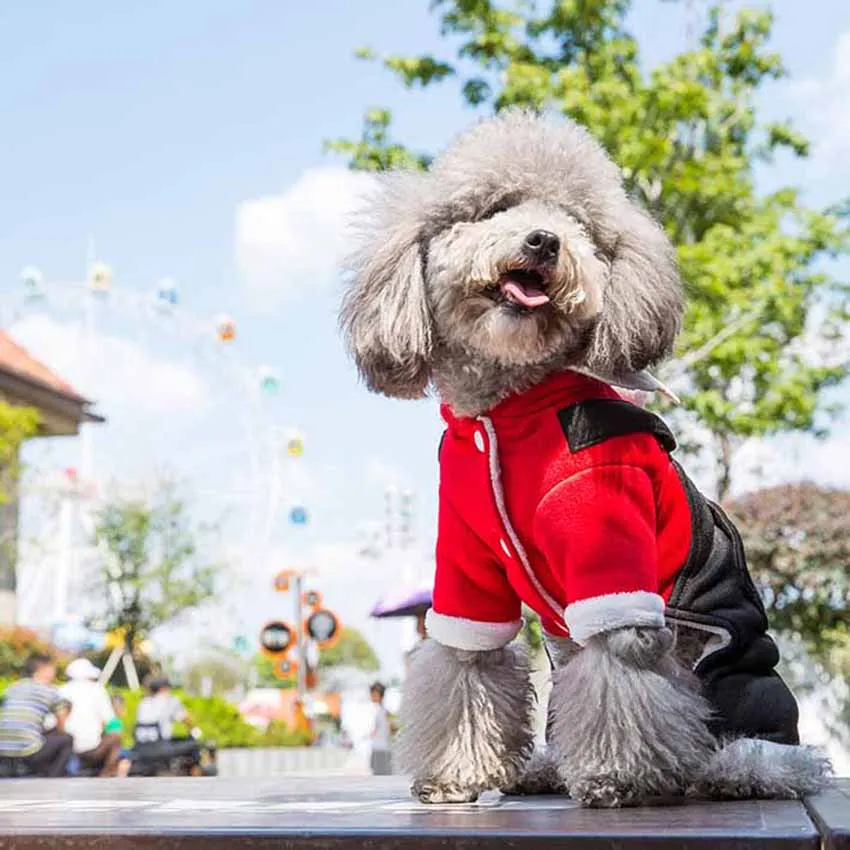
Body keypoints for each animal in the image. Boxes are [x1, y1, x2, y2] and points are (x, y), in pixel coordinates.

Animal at [336, 109, 828, 804]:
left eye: (578, 225)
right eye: (495, 207)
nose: (545, 241)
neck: (508, 411)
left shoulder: (611, 552)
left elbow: (619, 677)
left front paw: (619, 777)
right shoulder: (465, 566)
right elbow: (466, 663)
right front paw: (455, 775)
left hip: (732, 674)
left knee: (765, 749)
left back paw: (732, 771)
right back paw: (546, 767)